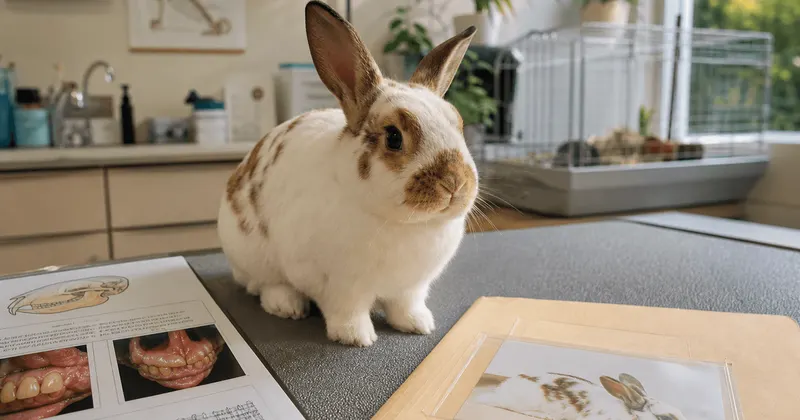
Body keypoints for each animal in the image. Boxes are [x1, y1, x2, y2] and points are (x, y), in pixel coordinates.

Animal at [216, 1, 480, 347]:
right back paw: (286, 305)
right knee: (262, 284)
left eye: (458, 125)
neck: (404, 224)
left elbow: (405, 306)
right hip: (252, 257)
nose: (455, 183)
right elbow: (347, 310)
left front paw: (418, 324)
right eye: (393, 137)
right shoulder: (337, 287)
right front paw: (356, 337)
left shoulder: (410, 288)